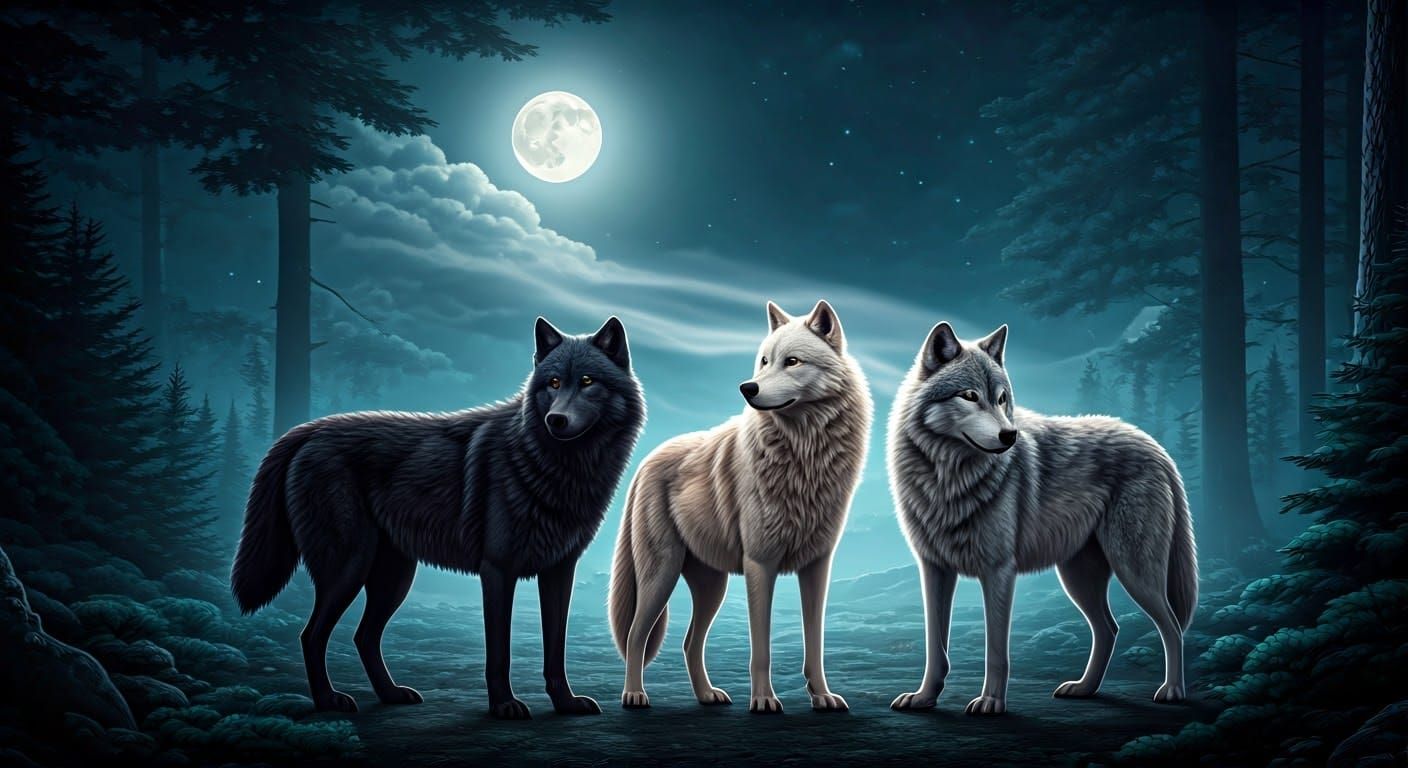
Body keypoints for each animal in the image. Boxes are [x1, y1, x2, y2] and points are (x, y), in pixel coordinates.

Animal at [230, 316, 646, 719]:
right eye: (554, 383)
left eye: (587, 382)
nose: (555, 419)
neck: (559, 466)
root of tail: (308, 430)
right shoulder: (498, 570)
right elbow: (499, 652)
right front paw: (503, 707)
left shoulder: (559, 570)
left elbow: (555, 650)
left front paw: (565, 704)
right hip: (349, 567)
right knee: (312, 635)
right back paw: (329, 700)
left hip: (394, 576)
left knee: (363, 636)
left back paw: (391, 694)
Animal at [608, 300, 871, 714]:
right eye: (763, 361)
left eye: (792, 361)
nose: (748, 387)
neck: (805, 455)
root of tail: (646, 460)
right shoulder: (760, 564)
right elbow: (760, 648)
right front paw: (763, 700)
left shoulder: (817, 566)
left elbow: (815, 643)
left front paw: (823, 696)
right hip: (660, 574)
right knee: (637, 635)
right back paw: (634, 695)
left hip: (711, 585)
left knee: (689, 643)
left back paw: (706, 695)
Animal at [886, 322, 1196, 715]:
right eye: (970, 395)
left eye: (1002, 398)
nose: (1009, 435)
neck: (949, 478)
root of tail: (1157, 447)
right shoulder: (934, 569)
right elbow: (935, 647)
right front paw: (925, 697)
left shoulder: (998, 571)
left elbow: (996, 651)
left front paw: (991, 702)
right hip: (1079, 576)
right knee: (1109, 629)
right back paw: (1084, 688)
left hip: (1134, 571)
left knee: (1172, 626)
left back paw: (1172, 690)